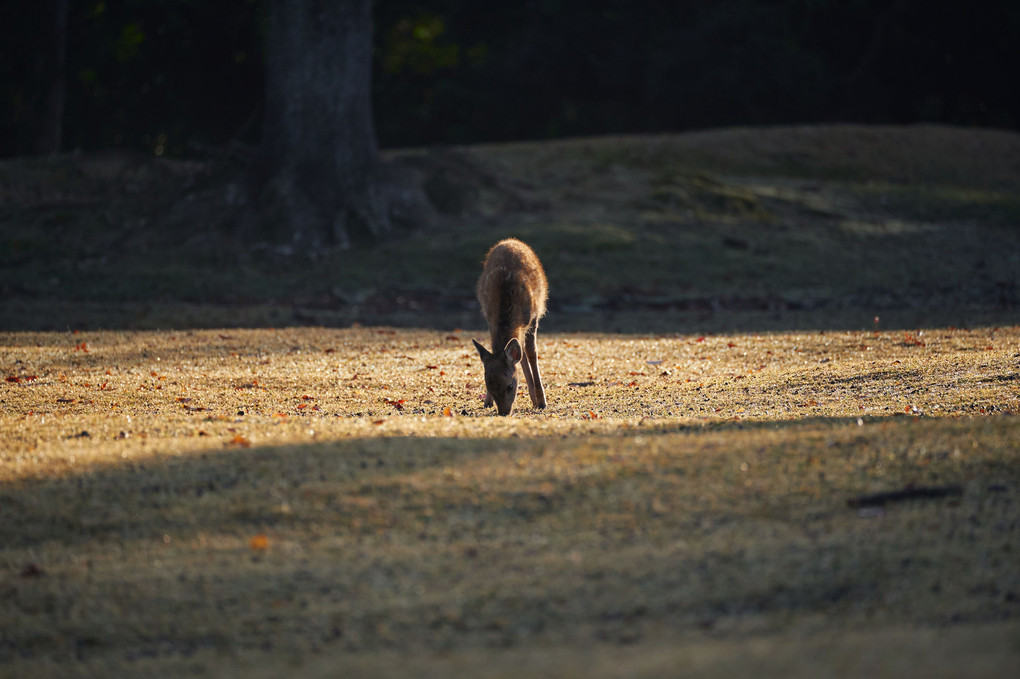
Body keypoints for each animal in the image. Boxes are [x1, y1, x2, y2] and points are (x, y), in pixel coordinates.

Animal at [471, 237, 546, 418]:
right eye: (488, 385)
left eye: (510, 386)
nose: (504, 412)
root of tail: (510, 240)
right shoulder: (489, 318)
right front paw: (487, 401)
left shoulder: (533, 318)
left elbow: (532, 354)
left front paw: (542, 401)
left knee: (525, 352)